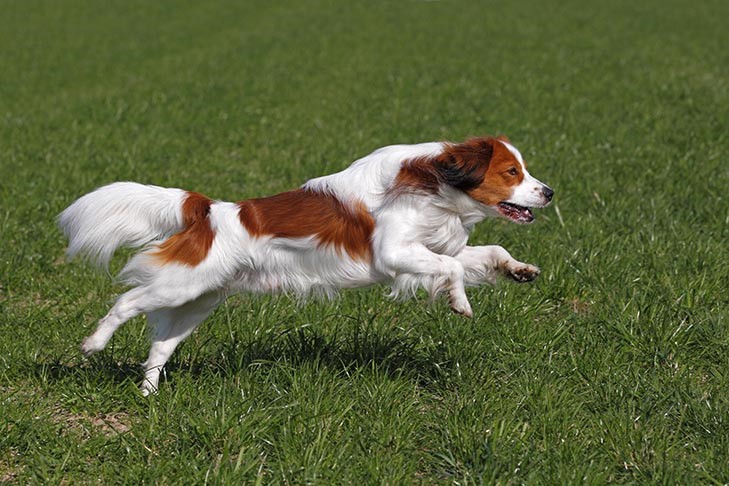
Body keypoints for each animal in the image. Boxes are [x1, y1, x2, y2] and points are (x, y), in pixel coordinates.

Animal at [59, 137, 556, 394]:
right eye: (512, 172)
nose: (549, 192)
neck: (430, 179)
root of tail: (208, 211)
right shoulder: (394, 253)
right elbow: (451, 271)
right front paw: (460, 302)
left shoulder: (434, 248)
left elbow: (487, 253)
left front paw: (520, 270)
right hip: (179, 286)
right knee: (126, 302)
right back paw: (92, 344)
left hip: (198, 300)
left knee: (160, 347)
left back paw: (149, 396)